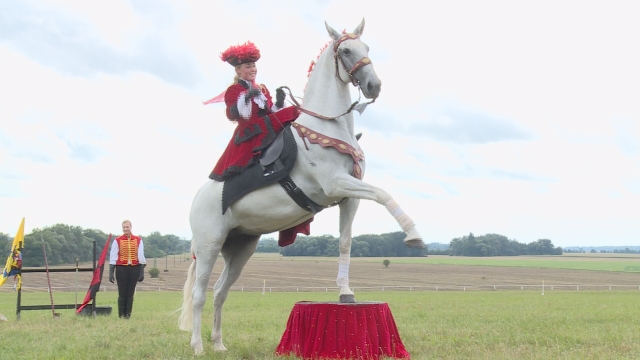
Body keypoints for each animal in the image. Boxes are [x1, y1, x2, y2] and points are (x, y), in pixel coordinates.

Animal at [178, 19, 422, 354]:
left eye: (367, 47)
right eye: (346, 50)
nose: (374, 85)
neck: (327, 127)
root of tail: (198, 199)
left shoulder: (349, 197)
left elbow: (345, 242)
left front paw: (346, 292)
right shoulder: (336, 185)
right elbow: (384, 194)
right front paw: (413, 235)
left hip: (240, 248)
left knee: (219, 291)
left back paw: (219, 344)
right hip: (208, 245)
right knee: (200, 294)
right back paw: (198, 346)